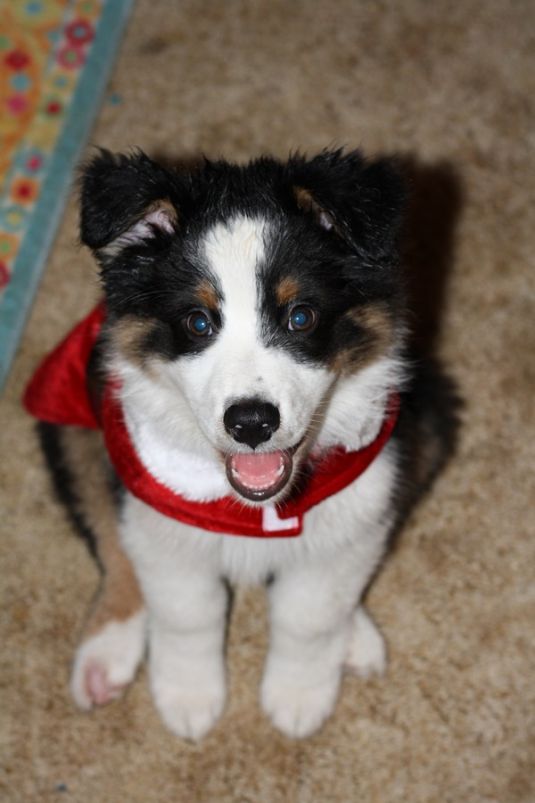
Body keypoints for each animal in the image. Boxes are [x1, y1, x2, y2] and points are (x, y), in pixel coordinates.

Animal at [26, 148, 456, 740]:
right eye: (197, 321)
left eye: (301, 316)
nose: (251, 423)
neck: (257, 509)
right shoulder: (160, 515)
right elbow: (187, 612)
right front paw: (188, 697)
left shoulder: (361, 498)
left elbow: (310, 614)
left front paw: (298, 696)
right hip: (76, 425)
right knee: (111, 540)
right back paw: (105, 652)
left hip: (429, 418)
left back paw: (357, 637)